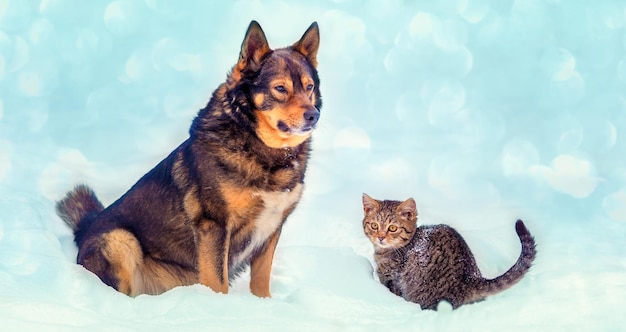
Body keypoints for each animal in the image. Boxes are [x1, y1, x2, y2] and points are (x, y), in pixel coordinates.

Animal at [55, 21, 320, 298]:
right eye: (280, 89)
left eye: (309, 87)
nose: (313, 115)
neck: (259, 146)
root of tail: (84, 230)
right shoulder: (213, 225)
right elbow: (219, 283)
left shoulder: (271, 228)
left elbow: (260, 282)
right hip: (120, 240)